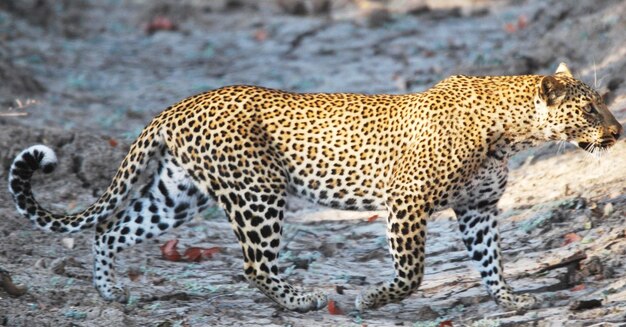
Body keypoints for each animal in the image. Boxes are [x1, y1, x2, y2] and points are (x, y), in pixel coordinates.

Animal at [8, 63, 620, 312]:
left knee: (109, 230)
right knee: (255, 264)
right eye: (590, 109)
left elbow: (493, 261)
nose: (617, 131)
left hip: (179, 195)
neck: (510, 132)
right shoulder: (407, 202)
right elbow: (413, 273)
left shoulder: (479, 209)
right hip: (257, 192)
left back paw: (111, 294)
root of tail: (179, 105)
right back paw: (301, 300)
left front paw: (510, 299)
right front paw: (373, 299)